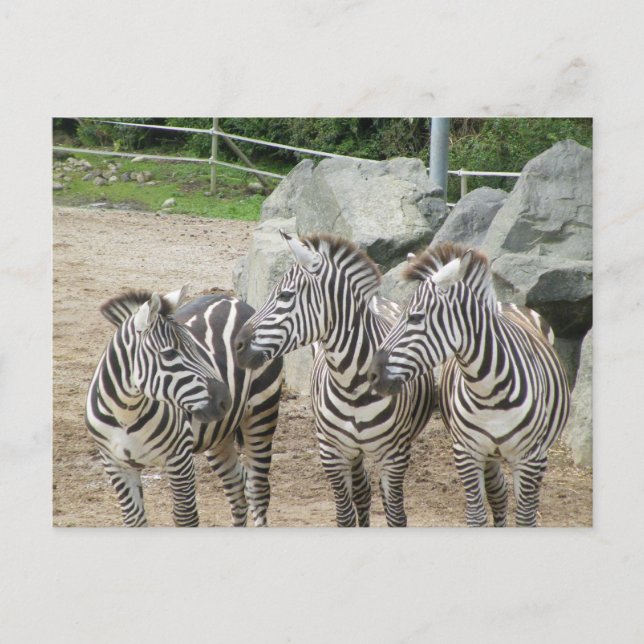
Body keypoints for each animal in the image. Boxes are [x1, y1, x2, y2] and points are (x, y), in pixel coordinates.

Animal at [85, 286, 282, 527]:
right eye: (169, 353)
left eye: (196, 349)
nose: (225, 400)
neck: (126, 414)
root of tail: (233, 299)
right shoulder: (115, 464)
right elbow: (135, 520)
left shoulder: (179, 457)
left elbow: (185, 517)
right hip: (217, 435)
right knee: (237, 486)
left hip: (262, 413)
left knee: (257, 489)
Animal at [234, 232, 435, 527]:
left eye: (285, 295)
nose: (236, 345)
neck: (352, 386)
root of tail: (379, 300)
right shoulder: (331, 453)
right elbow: (345, 517)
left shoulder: (395, 456)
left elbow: (397, 516)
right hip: (350, 450)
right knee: (362, 490)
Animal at [368, 243, 570, 527]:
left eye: (416, 318)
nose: (372, 375)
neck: (490, 392)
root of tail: (505, 303)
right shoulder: (467, 453)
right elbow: (476, 516)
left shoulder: (529, 457)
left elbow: (525, 519)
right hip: (490, 457)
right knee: (499, 494)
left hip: (537, 454)